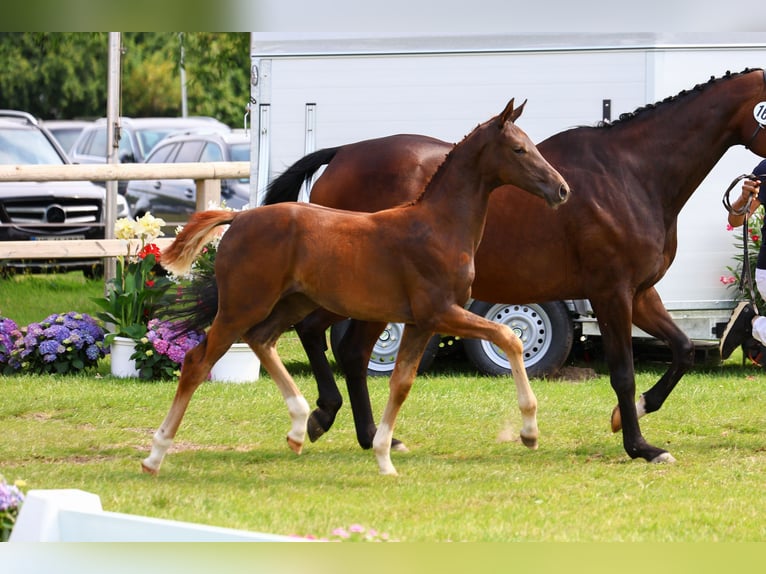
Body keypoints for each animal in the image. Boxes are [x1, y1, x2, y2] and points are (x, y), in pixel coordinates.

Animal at [142, 100, 568, 476]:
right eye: (519, 149)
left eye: (532, 144)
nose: (562, 190)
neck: (439, 226)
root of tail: (239, 218)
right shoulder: (440, 312)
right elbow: (508, 338)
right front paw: (529, 432)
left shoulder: (419, 323)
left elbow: (401, 384)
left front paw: (383, 454)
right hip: (242, 305)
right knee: (198, 362)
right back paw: (156, 455)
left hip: (292, 303)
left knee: (264, 339)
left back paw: (301, 424)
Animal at [264, 67, 766, 466]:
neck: (633, 173)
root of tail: (342, 154)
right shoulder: (612, 293)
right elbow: (623, 372)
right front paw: (641, 446)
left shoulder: (641, 294)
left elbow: (682, 349)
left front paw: (632, 414)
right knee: (325, 338)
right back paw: (329, 418)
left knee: (345, 348)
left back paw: (364, 433)